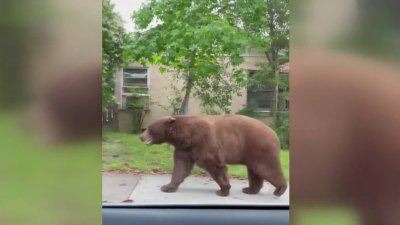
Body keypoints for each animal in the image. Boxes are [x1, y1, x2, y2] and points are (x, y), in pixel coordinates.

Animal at [139, 115, 286, 196]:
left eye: (149, 128)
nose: (140, 137)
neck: (186, 136)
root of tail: (275, 134)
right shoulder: (184, 149)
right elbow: (181, 167)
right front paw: (167, 187)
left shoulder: (204, 141)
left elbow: (214, 164)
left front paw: (223, 190)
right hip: (252, 153)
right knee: (255, 171)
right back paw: (250, 189)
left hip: (259, 148)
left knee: (266, 168)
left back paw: (280, 190)